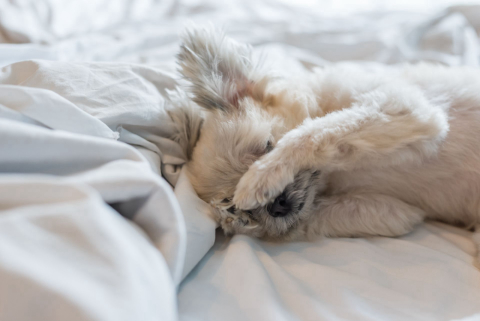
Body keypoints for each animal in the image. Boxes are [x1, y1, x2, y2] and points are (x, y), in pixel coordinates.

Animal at [168, 25, 480, 264]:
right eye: (237, 208)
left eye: (267, 146)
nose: (276, 205)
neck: (334, 174)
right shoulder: (394, 212)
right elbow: (307, 219)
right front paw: (243, 223)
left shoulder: (407, 109)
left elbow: (319, 129)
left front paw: (262, 176)